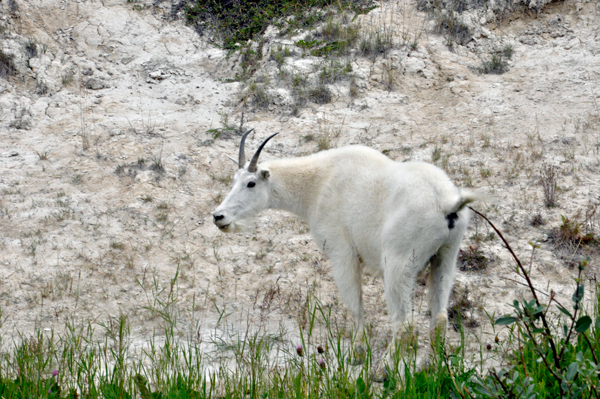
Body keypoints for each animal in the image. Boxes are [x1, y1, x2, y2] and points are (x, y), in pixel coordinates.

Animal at [213, 131, 480, 366]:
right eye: (234, 181)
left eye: (251, 183)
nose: (218, 216)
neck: (318, 183)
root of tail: (447, 203)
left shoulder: (342, 253)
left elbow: (356, 306)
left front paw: (357, 352)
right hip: (446, 256)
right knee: (440, 316)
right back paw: (431, 366)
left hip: (399, 263)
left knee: (405, 324)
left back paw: (384, 369)